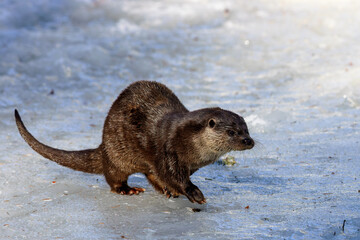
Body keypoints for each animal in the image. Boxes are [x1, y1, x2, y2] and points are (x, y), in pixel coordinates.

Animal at [15, 81, 255, 204]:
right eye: (232, 132)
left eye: (246, 129)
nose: (249, 141)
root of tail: (103, 146)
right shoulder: (168, 151)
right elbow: (174, 175)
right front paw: (193, 193)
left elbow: (167, 176)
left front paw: (174, 189)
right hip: (116, 156)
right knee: (113, 178)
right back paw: (127, 190)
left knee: (148, 173)